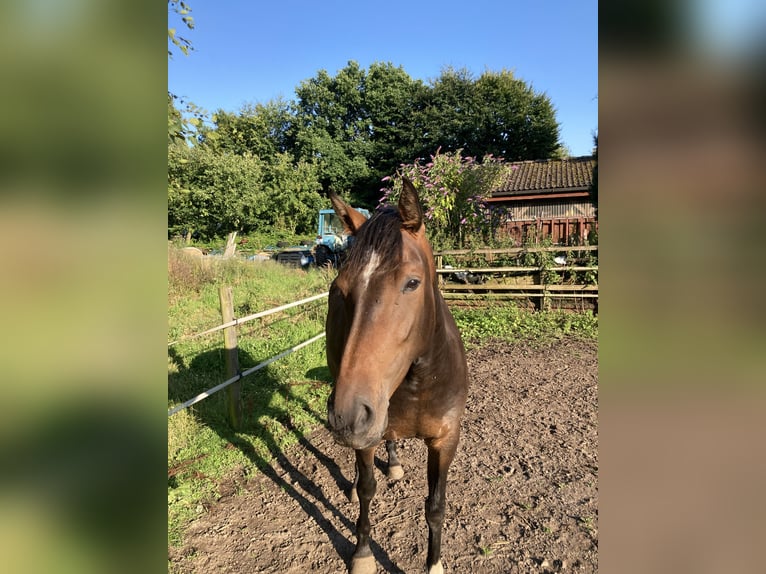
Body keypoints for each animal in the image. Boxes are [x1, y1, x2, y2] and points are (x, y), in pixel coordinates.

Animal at [328, 179, 472, 574]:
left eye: (412, 283)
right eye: (340, 288)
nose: (347, 415)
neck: (420, 384)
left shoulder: (446, 440)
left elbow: (435, 506)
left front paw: (434, 564)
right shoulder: (366, 433)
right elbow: (366, 489)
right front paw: (362, 553)